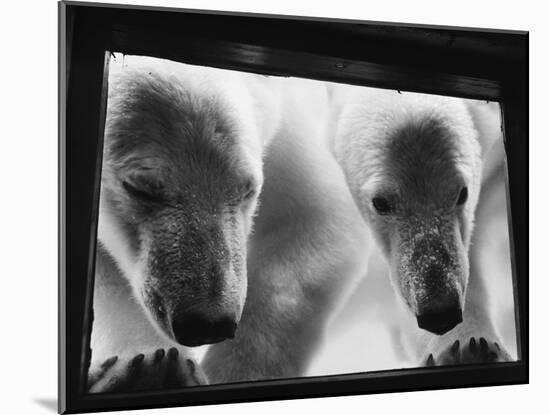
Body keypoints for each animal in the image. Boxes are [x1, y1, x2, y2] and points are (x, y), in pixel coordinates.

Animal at [87, 53, 370, 392]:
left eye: (247, 189)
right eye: (138, 188)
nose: (207, 323)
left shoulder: (284, 125)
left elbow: (315, 217)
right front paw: (149, 368)